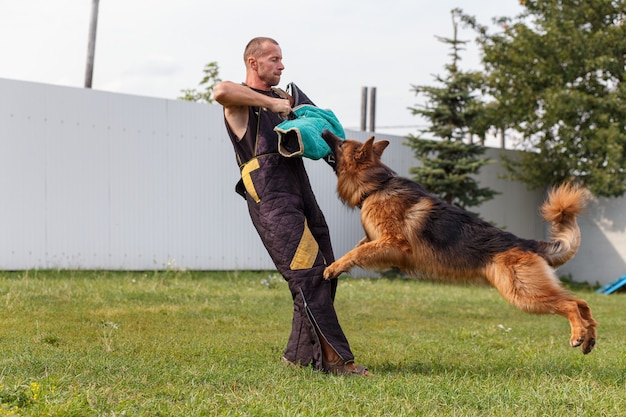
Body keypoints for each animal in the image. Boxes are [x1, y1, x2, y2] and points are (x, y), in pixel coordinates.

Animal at [322, 129, 596, 352]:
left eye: (342, 142)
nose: (324, 130)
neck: (376, 185)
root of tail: (525, 242)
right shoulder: (377, 243)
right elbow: (358, 249)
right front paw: (338, 265)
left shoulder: (393, 244)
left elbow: (356, 253)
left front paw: (333, 268)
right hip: (531, 292)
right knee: (581, 302)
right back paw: (589, 337)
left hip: (524, 294)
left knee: (570, 304)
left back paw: (578, 334)